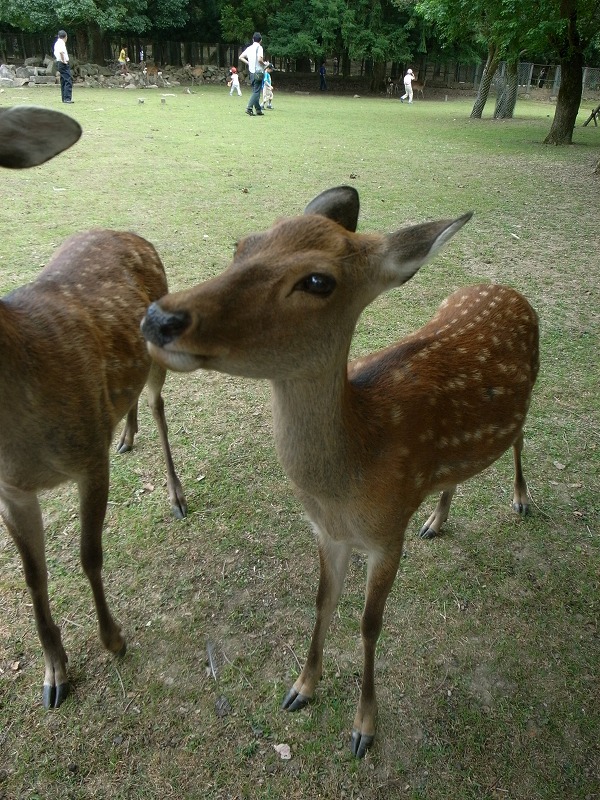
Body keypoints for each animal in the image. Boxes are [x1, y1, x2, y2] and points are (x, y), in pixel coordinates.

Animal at [0, 104, 188, 708]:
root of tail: (130, 230)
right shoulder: (9, 489)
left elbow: (89, 553)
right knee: (129, 401)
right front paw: (54, 673)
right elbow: (32, 576)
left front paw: (114, 639)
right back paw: (125, 433)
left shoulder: (87, 457)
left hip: (160, 341)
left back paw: (176, 493)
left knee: (158, 405)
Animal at [139, 186, 540, 756]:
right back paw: (437, 520)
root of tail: (512, 291)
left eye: (317, 281)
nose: (159, 318)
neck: (349, 480)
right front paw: (301, 688)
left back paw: (522, 499)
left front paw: (364, 727)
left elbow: (370, 624)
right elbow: (322, 602)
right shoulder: (327, 533)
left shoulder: (388, 533)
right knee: (458, 473)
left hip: (529, 396)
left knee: (521, 437)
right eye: (243, 245)